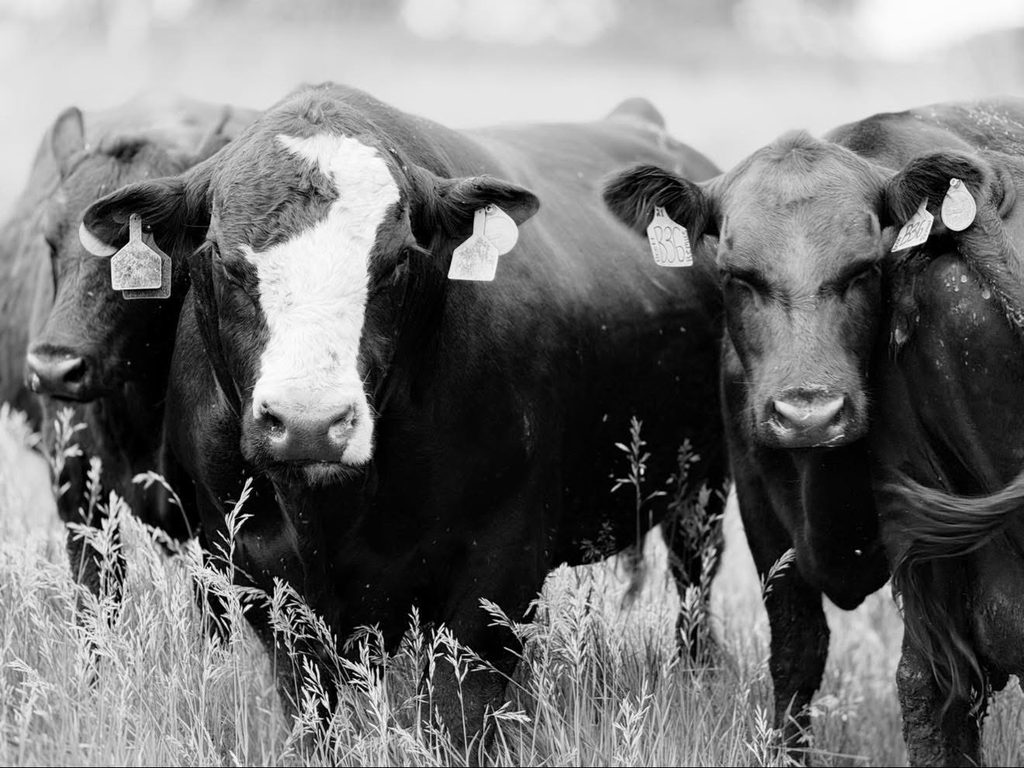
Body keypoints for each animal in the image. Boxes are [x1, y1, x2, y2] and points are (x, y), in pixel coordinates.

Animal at [76, 82, 728, 747]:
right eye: (227, 263)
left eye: (391, 263)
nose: (309, 421)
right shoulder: (255, 569)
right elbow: (310, 707)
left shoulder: (501, 562)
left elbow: (457, 710)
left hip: (703, 489)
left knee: (694, 578)